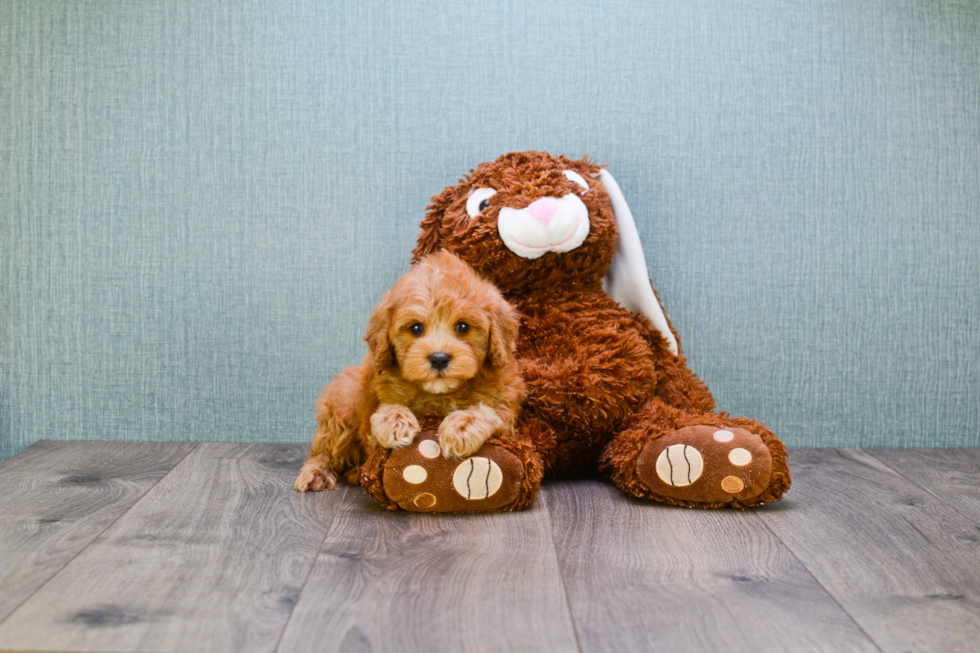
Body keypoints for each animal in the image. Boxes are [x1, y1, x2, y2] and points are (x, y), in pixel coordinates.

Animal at [294, 252, 524, 492]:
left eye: (463, 327)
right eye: (416, 328)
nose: (439, 358)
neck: (440, 394)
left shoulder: (506, 414)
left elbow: (487, 412)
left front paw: (461, 426)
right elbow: (384, 414)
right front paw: (395, 422)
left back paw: (355, 472)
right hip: (343, 404)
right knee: (324, 450)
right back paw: (317, 472)